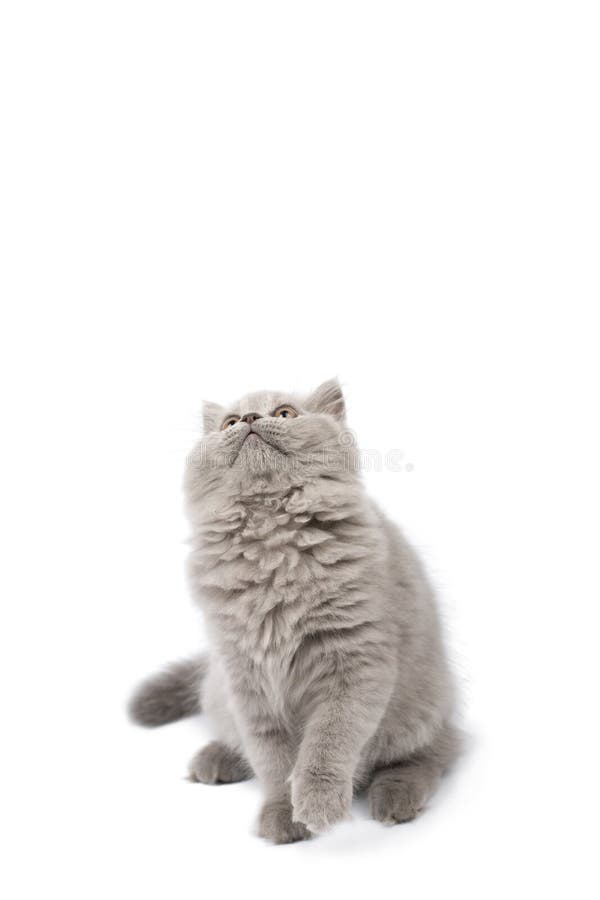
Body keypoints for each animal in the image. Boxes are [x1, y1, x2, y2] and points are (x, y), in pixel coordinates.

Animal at [130, 380, 460, 844]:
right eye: (229, 423)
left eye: (285, 414)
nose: (250, 420)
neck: (271, 544)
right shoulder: (246, 676)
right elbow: (270, 756)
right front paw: (284, 815)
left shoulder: (356, 660)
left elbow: (328, 740)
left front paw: (317, 806)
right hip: (218, 690)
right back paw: (215, 760)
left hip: (422, 709)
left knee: (435, 754)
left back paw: (395, 798)